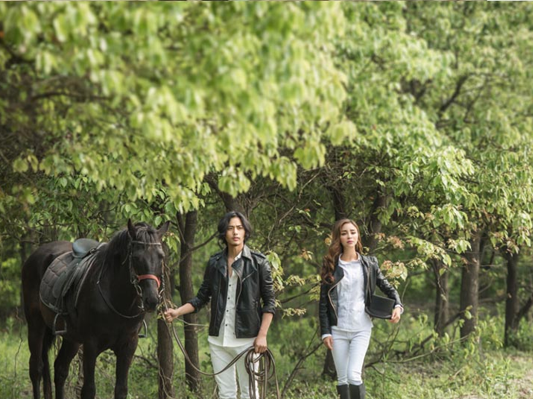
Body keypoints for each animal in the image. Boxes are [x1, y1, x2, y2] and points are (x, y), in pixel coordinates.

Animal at [21, 222, 168, 399]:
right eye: (136, 257)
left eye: (161, 256)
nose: (151, 300)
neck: (117, 299)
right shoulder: (91, 345)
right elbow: (89, 390)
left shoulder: (128, 346)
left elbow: (121, 389)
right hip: (36, 326)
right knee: (36, 369)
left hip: (72, 339)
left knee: (60, 369)